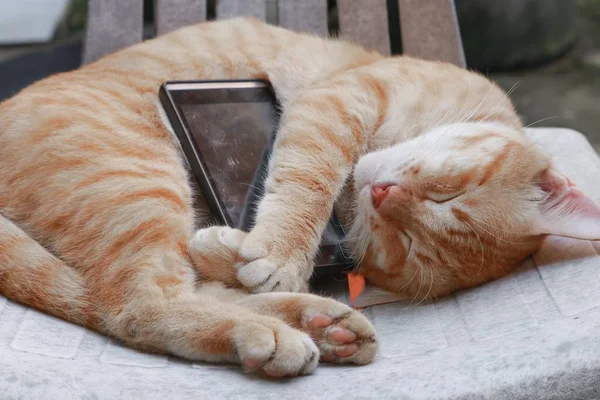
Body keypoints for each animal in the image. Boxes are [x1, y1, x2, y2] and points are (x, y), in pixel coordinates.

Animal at [1, 16, 600, 378]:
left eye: (404, 243)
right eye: (448, 194)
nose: (383, 191)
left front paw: (238, 251)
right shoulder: (341, 100)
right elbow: (308, 176)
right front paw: (280, 252)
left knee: (157, 299)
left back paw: (319, 325)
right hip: (136, 178)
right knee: (136, 307)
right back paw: (279, 328)